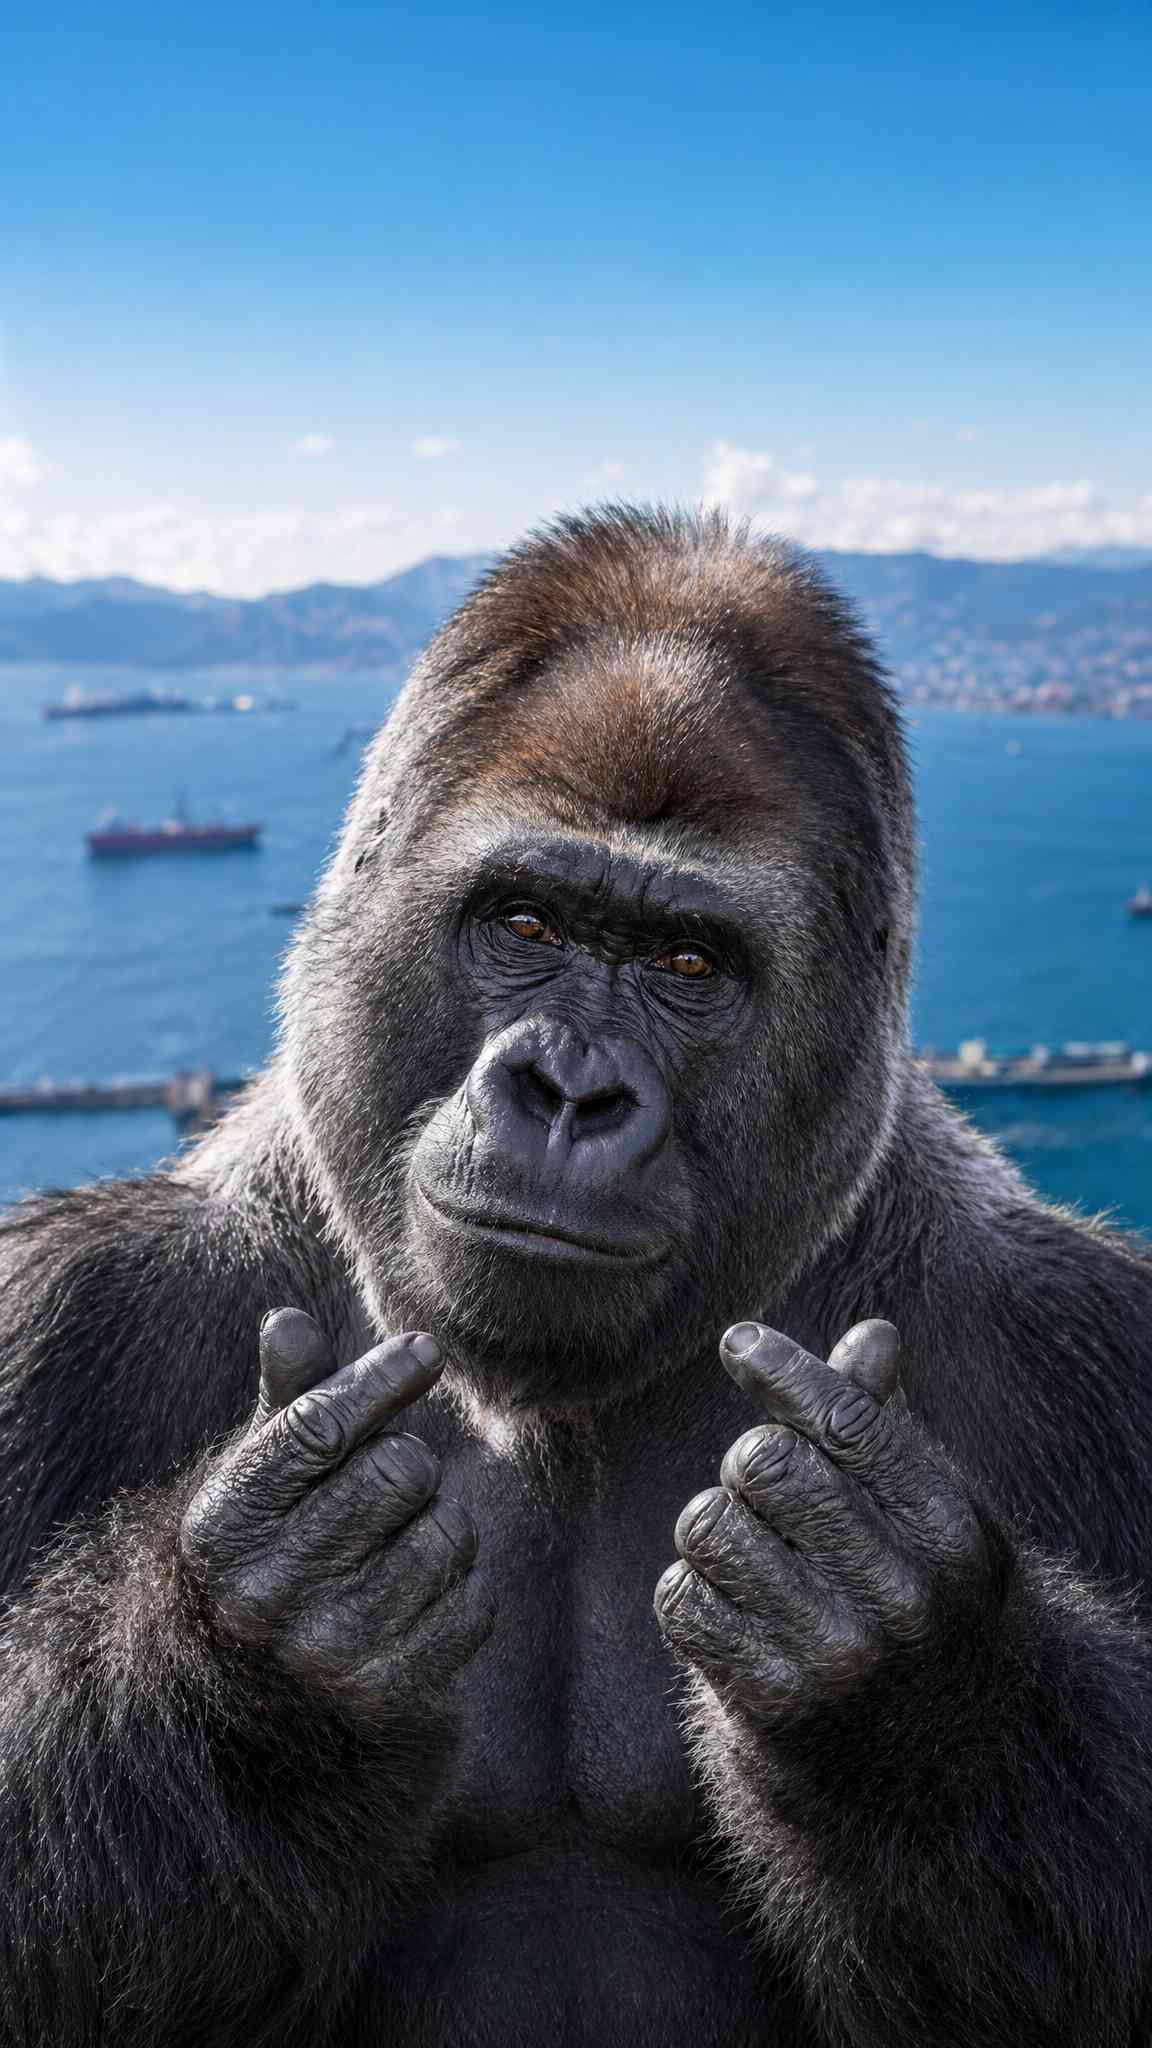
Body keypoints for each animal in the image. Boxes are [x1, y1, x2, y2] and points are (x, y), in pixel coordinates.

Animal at [2, 504, 1152, 2047]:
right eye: (530, 925)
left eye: (688, 960)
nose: (568, 1094)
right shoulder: (54, 1313)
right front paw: (243, 1657)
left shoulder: (1092, 1341)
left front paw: (913, 1683)